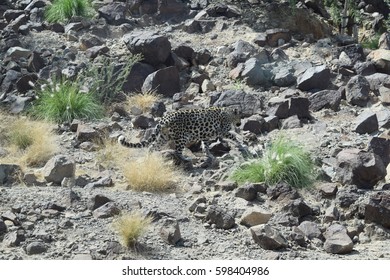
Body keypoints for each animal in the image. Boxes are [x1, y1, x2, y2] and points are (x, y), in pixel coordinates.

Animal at [117, 106, 245, 163]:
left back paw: (150, 158)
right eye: (241, 115)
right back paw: (186, 158)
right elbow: (233, 136)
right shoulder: (223, 131)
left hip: (163, 136)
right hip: (182, 137)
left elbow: (205, 146)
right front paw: (241, 145)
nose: (239, 124)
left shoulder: (206, 136)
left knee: (152, 146)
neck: (229, 113)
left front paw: (209, 155)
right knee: (178, 151)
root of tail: (164, 118)